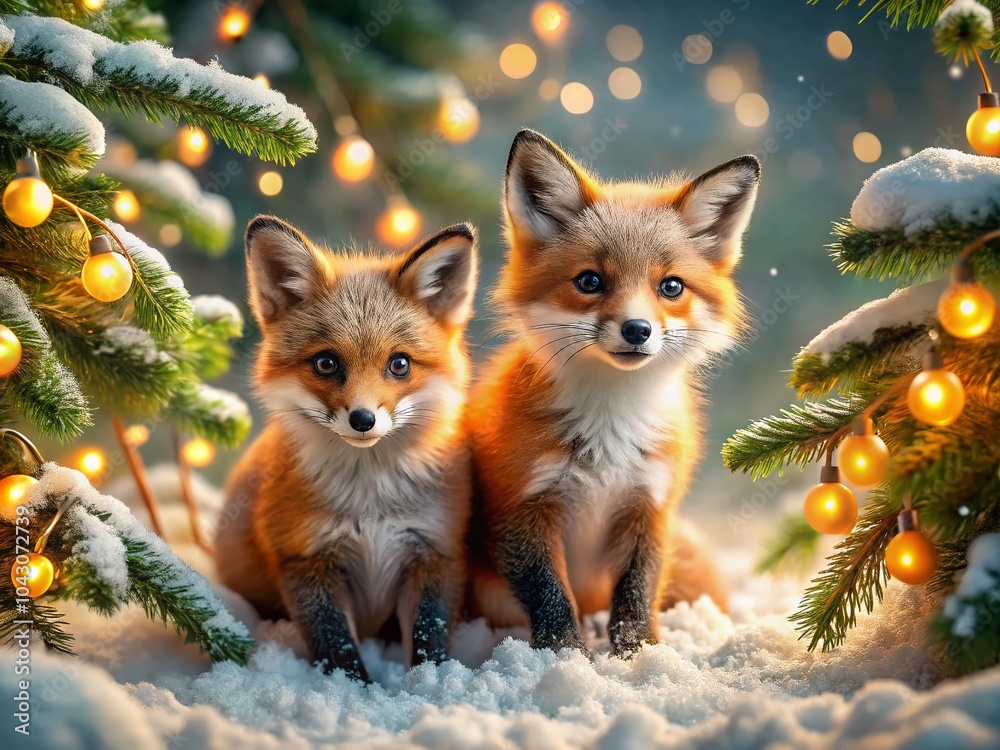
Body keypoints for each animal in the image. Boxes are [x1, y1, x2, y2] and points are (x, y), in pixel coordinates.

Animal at [216, 215, 478, 682]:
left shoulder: (436, 552)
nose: (362, 420)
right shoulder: (304, 558)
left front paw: (429, 686)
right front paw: (357, 690)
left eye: (399, 364)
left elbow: (428, 638)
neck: (369, 502)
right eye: (326, 363)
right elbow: (337, 649)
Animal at [467, 129, 760, 656]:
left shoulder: (650, 505)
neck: (610, 426)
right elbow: (550, 595)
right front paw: (567, 656)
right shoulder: (522, 507)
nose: (637, 330)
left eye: (671, 287)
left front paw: (639, 655)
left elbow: (637, 592)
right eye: (590, 281)